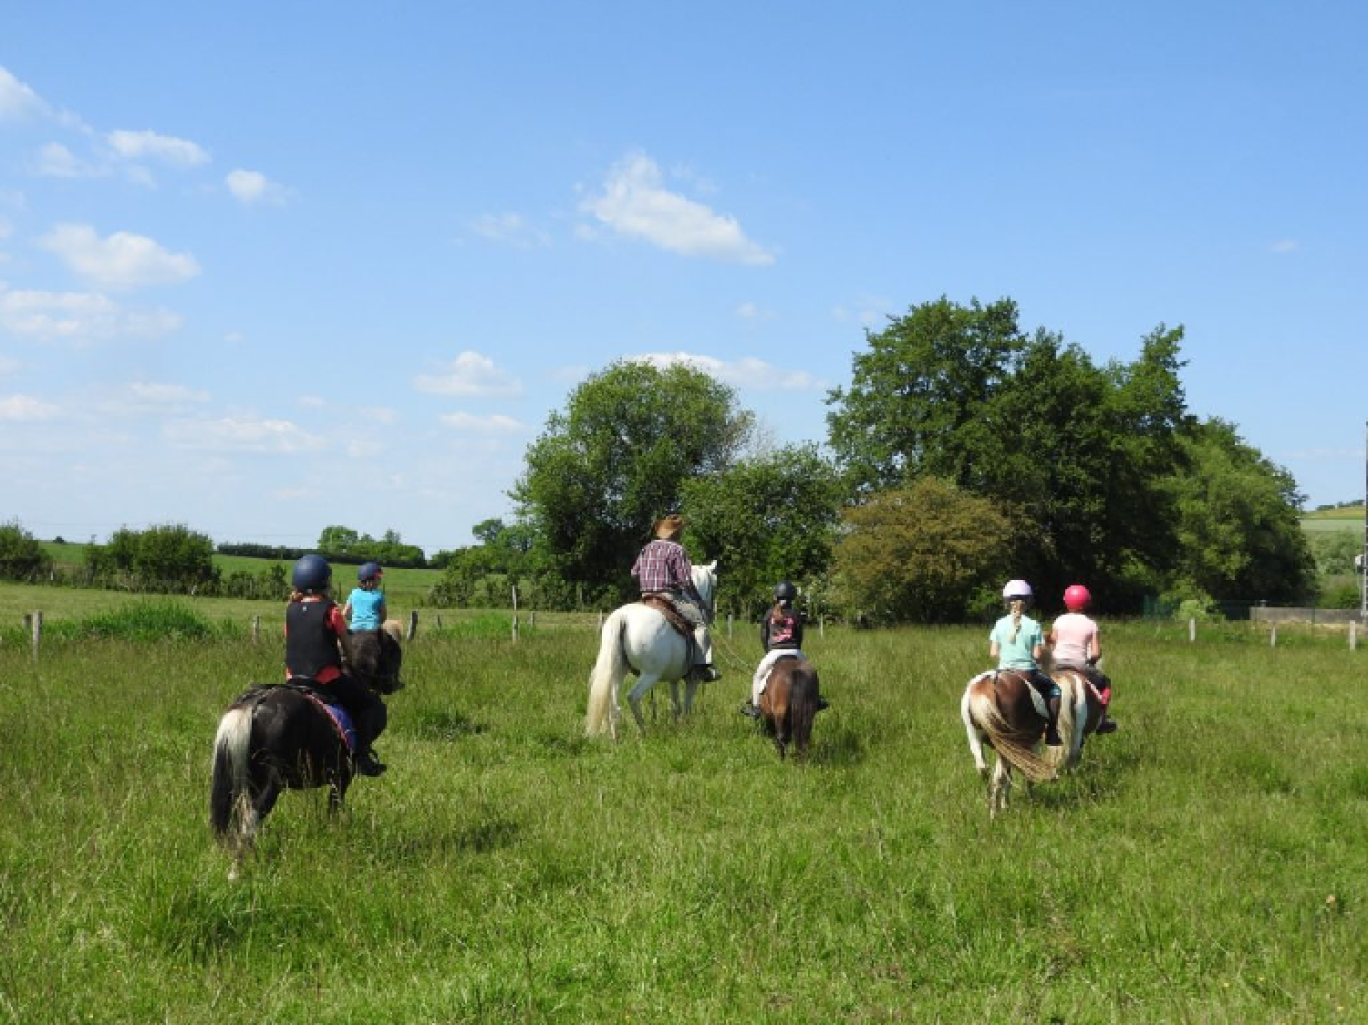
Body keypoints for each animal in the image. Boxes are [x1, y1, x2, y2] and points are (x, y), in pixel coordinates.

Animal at [585, 561, 722, 733]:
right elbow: (686, 705)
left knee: (612, 704)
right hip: (650, 674)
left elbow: (675, 705)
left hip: (618, 671)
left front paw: (676, 727)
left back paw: (616, 736)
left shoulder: (673, 679)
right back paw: (644, 731)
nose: (711, 614)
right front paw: (685, 726)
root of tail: (622, 617)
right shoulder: (693, 679)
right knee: (632, 697)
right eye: (715, 586)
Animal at [963, 670, 1056, 815]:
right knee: (999, 776)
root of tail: (989, 684)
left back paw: (991, 806)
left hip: (975, 737)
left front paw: (1005, 804)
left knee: (984, 770)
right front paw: (1030, 802)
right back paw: (994, 813)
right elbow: (1028, 773)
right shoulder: (1031, 746)